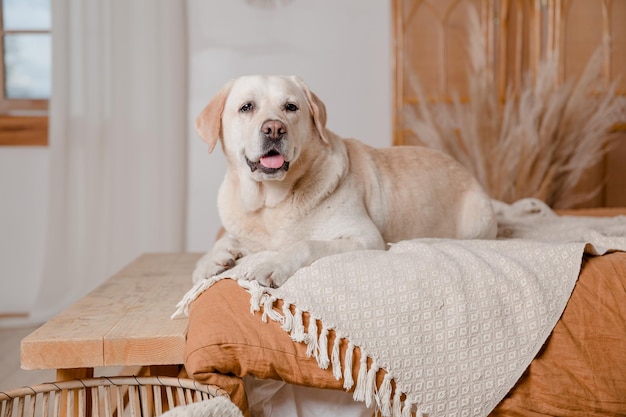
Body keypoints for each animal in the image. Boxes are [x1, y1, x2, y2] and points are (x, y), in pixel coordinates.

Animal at [193, 75, 494, 286]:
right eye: (246, 107)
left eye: (291, 107)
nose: (274, 129)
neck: (272, 201)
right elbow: (226, 239)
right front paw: (211, 261)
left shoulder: (365, 238)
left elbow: (306, 244)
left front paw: (272, 264)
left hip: (477, 222)